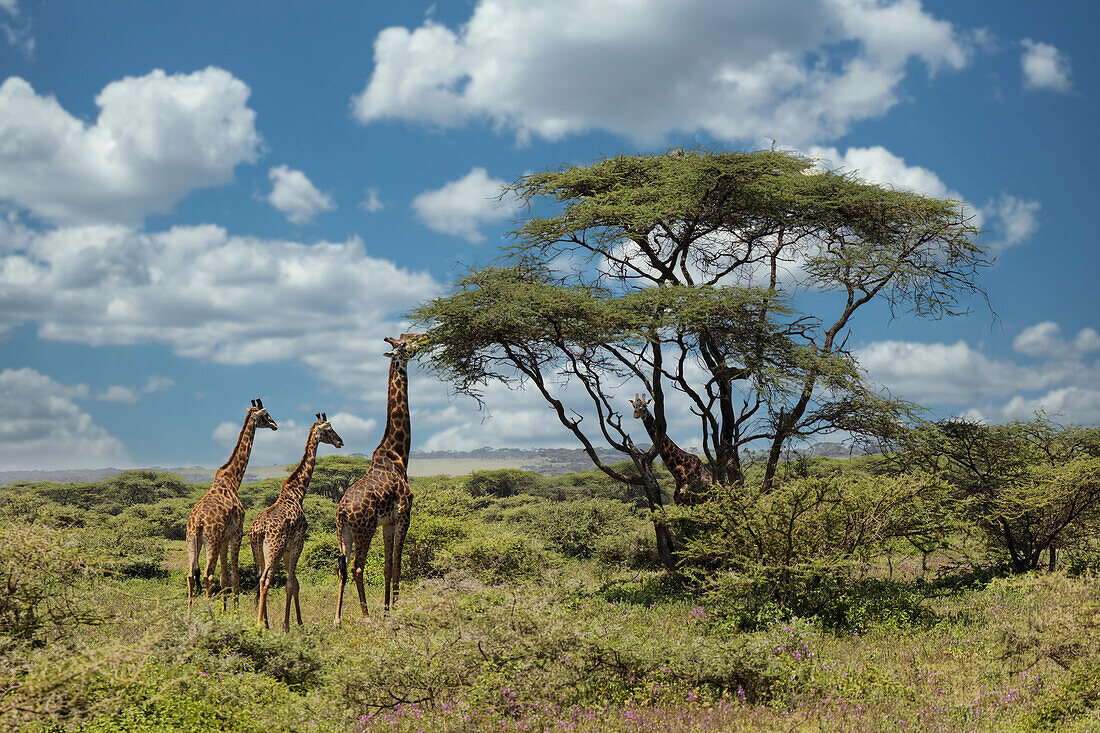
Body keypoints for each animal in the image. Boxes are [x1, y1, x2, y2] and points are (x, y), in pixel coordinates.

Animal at [185, 394, 279, 611]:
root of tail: (197, 523)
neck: (233, 479)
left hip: (192, 542)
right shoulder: (236, 533)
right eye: (266, 414)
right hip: (210, 541)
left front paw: (226, 609)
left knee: (191, 576)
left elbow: (225, 578)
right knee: (207, 576)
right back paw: (209, 615)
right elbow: (234, 576)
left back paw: (189, 614)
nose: (275, 425)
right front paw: (234, 612)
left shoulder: (224, 539)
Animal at [250, 411, 343, 629]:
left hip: (258, 552)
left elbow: (295, 583)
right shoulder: (298, 542)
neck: (298, 492)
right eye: (329, 429)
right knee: (266, 580)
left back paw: (265, 622)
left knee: (259, 578)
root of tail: (259, 530)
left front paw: (297, 621)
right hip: (273, 549)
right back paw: (260, 624)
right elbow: (291, 583)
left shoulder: (287, 549)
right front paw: (289, 625)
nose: (340, 441)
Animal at [330, 330, 424, 620]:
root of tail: (343, 511)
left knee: (342, 567)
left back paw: (337, 619)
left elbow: (386, 566)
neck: (397, 455)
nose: (426, 336)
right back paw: (365, 614)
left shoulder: (388, 522)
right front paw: (395, 608)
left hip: (344, 534)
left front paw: (387, 609)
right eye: (406, 343)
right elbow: (398, 564)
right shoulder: (404, 514)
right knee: (357, 567)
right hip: (364, 529)